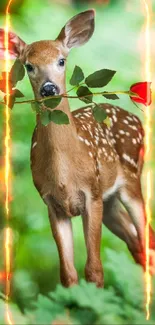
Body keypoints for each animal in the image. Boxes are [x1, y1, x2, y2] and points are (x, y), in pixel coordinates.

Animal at [0, 8, 154, 284]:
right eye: (29, 66)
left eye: (62, 61)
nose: (49, 88)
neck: (64, 174)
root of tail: (135, 119)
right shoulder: (52, 204)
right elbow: (68, 274)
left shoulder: (91, 194)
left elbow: (94, 269)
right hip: (110, 201)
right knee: (136, 244)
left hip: (131, 180)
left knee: (147, 239)